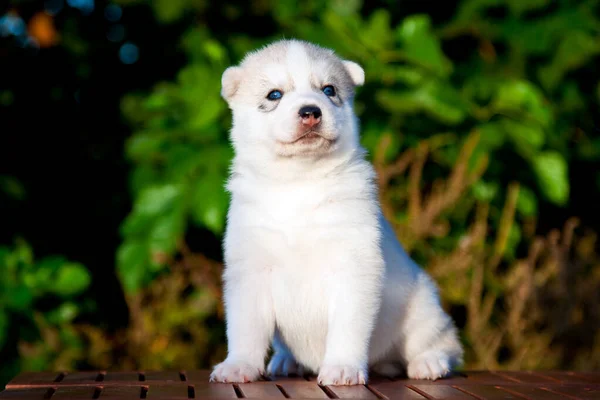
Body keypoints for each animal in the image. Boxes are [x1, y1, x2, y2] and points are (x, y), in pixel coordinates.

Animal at [209, 39, 462, 384]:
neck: (299, 183)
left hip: (422, 309)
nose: (310, 112)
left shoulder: (353, 267)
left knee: (441, 342)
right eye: (274, 94)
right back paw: (287, 361)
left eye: (328, 90)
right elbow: (245, 329)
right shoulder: (249, 270)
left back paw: (430, 363)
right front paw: (238, 365)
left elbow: (347, 328)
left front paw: (342, 368)